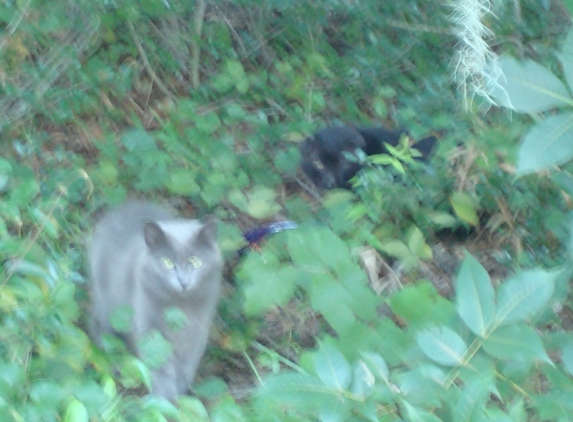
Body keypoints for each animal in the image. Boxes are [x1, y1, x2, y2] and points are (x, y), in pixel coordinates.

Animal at [88, 203, 222, 400]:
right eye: (167, 262)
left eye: (196, 261)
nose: (183, 282)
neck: (180, 308)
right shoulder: (150, 328)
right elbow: (160, 366)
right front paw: (164, 400)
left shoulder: (198, 331)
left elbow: (187, 366)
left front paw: (180, 395)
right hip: (108, 304)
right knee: (102, 329)